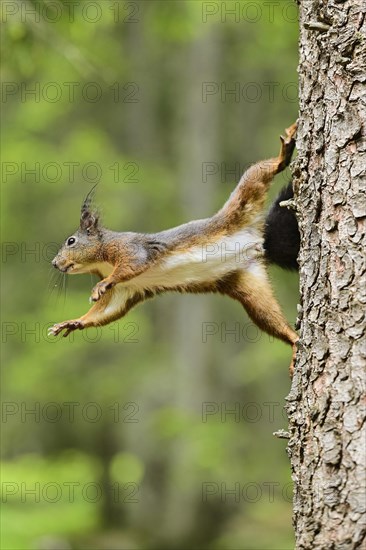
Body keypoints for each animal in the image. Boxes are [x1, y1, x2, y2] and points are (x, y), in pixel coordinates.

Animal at [50, 125, 298, 376]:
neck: (101, 261)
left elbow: (131, 264)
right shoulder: (125, 290)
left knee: (261, 171)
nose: (54, 263)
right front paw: (74, 322)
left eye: (71, 241)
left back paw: (284, 152)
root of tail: (259, 241)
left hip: (244, 198)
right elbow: (108, 309)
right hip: (249, 286)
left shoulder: (130, 248)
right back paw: (295, 342)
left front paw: (101, 285)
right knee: (271, 319)